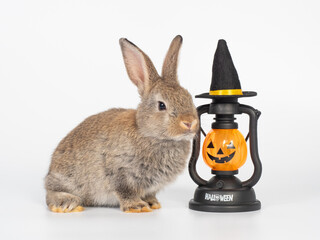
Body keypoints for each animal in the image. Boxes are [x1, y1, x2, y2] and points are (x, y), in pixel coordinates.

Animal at [44, 35, 200, 212]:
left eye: (189, 98)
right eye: (161, 105)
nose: (189, 122)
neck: (148, 133)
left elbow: (149, 194)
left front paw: (152, 203)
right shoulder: (120, 172)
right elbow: (125, 190)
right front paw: (137, 206)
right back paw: (67, 204)